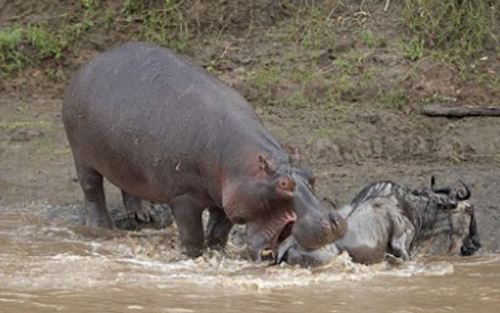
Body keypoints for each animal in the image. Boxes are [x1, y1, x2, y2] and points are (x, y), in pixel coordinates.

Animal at [61, 41, 344, 258]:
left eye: (311, 176)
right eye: (283, 184)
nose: (334, 221)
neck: (241, 161)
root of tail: (91, 63)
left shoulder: (229, 196)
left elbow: (219, 231)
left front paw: (218, 252)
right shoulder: (183, 196)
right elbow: (192, 234)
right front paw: (193, 257)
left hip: (125, 158)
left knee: (127, 184)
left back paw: (143, 215)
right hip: (81, 154)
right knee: (92, 190)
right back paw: (101, 227)